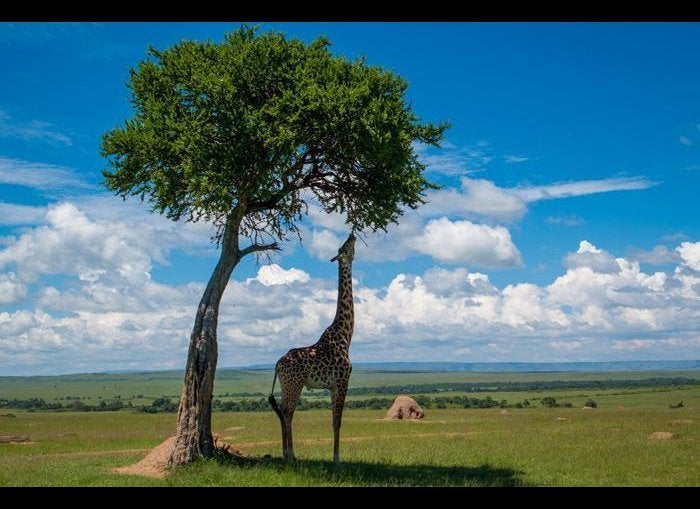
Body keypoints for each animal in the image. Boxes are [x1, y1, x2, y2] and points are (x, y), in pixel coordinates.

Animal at [268, 232, 356, 462]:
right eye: (344, 247)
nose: (352, 234)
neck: (346, 336)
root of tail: (277, 365)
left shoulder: (333, 386)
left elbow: (334, 420)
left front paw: (335, 457)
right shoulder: (343, 381)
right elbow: (337, 421)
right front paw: (337, 459)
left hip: (286, 384)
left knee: (282, 410)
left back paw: (286, 453)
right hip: (295, 384)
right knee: (288, 412)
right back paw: (291, 454)